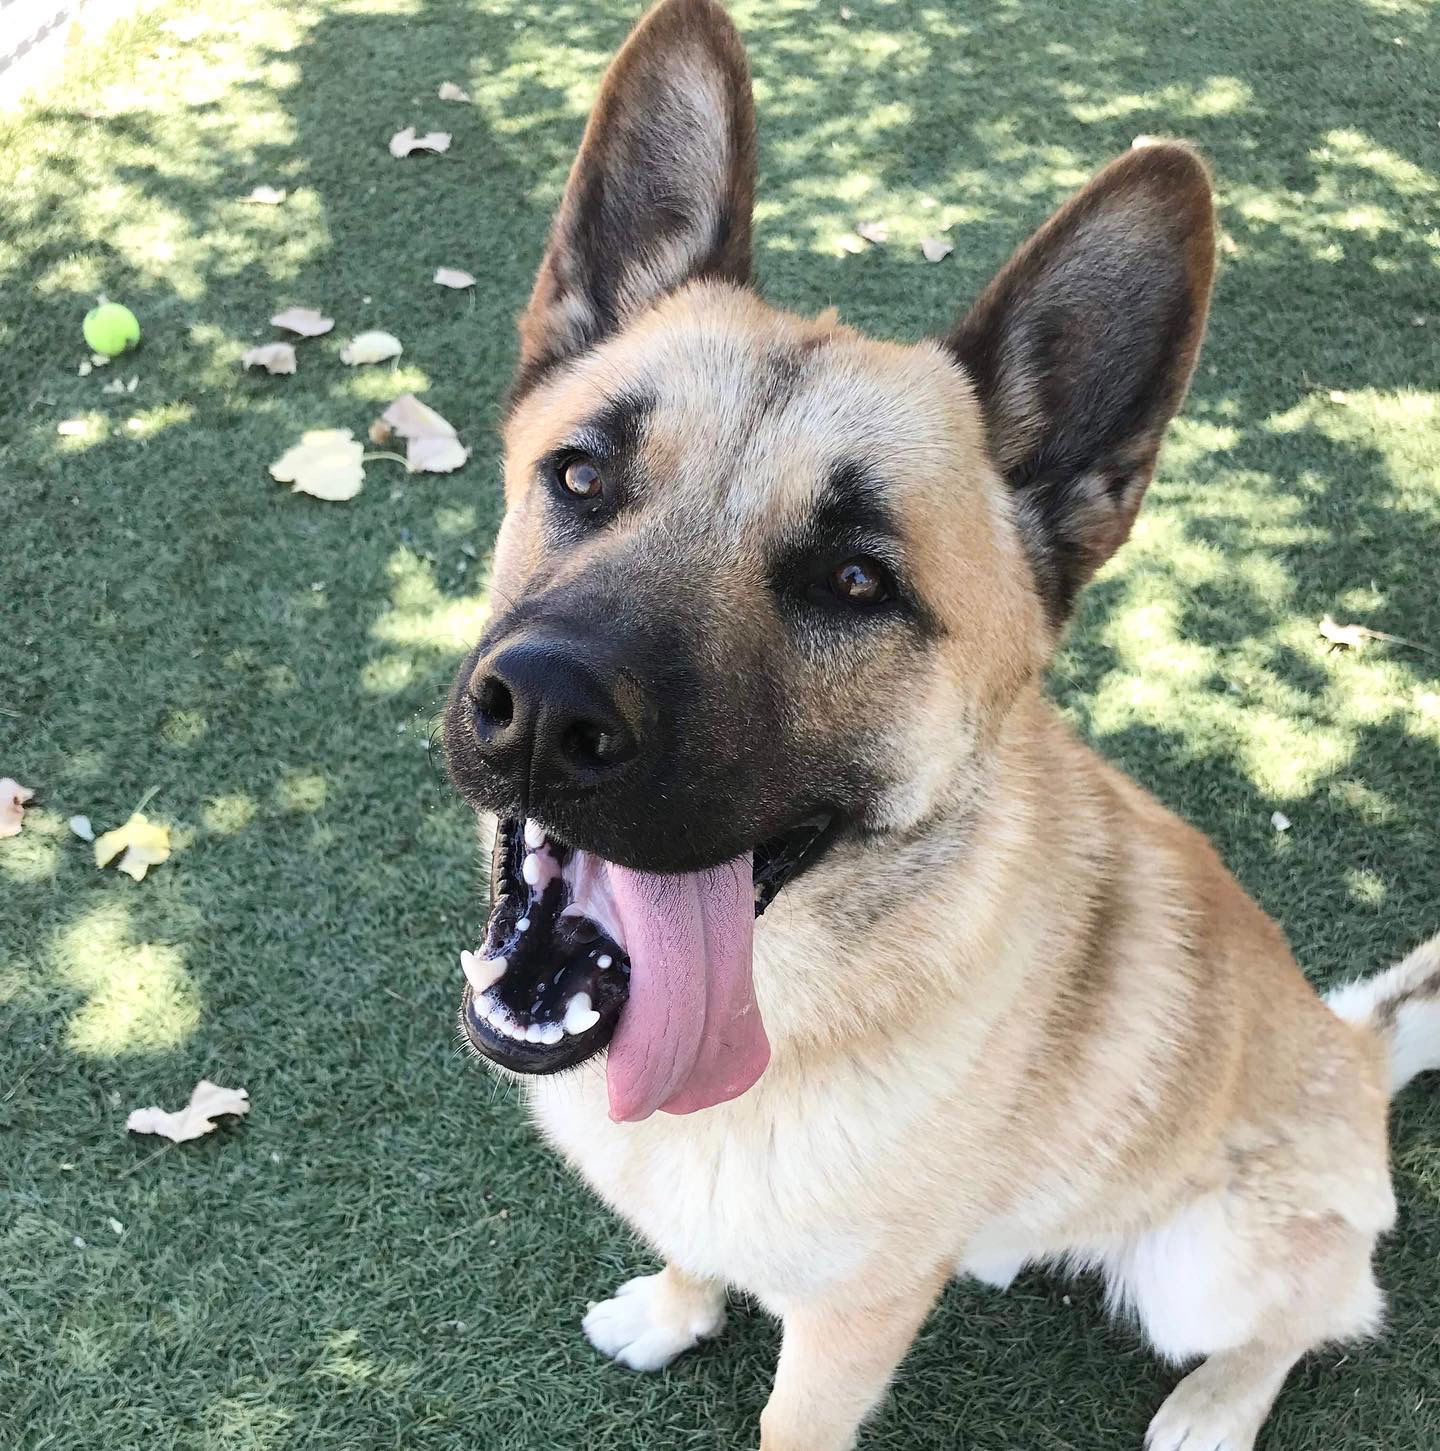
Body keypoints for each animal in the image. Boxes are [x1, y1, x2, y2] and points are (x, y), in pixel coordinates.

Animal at [441, 5, 1440, 1445]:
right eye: (580, 474)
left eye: (858, 579)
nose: (543, 711)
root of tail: (1357, 1051)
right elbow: (696, 1243)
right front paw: (676, 1307)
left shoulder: (850, 1324)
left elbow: (791, 1416)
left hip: (1209, 1263)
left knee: (1321, 1304)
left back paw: (1215, 1403)